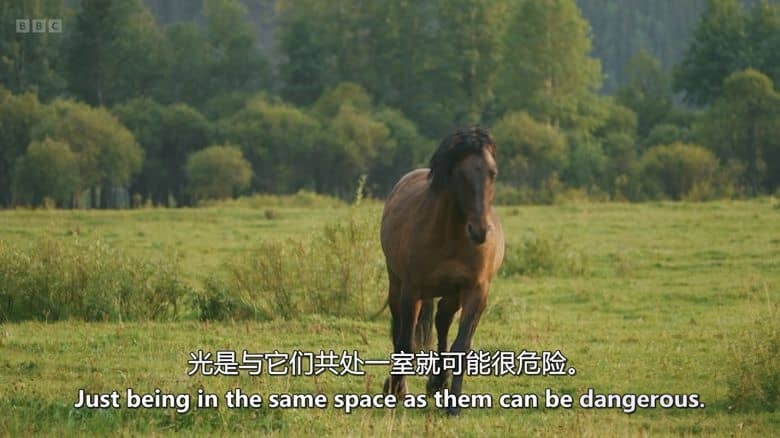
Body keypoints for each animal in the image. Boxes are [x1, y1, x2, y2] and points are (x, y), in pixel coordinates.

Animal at [380, 126, 504, 416]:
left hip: (451, 295)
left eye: (492, 173)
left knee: (442, 323)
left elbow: (461, 345)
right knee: (400, 331)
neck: (451, 236)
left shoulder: (475, 291)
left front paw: (454, 404)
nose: (480, 231)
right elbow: (405, 342)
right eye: (460, 173)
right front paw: (396, 391)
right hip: (397, 285)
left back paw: (438, 382)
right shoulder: (412, 290)